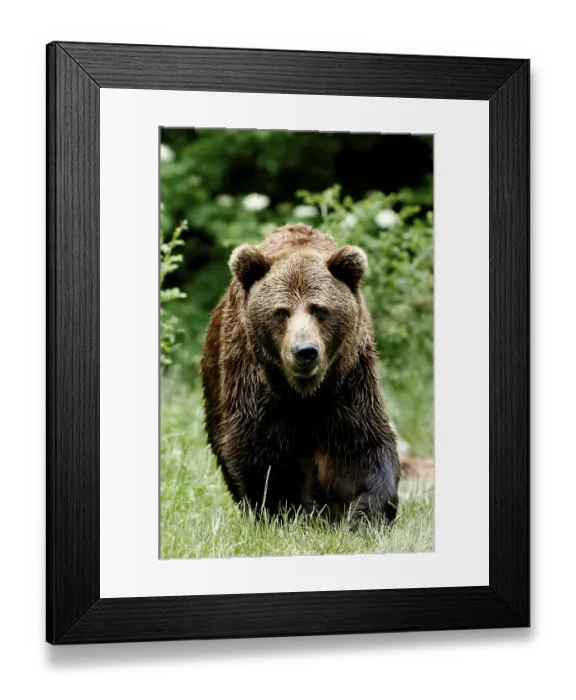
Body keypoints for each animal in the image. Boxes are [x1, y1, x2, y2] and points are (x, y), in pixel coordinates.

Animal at [200, 223, 400, 526]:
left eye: (319, 309)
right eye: (282, 312)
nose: (305, 352)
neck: (304, 392)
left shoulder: (348, 380)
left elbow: (361, 448)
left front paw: (363, 516)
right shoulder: (256, 380)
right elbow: (264, 452)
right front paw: (289, 513)